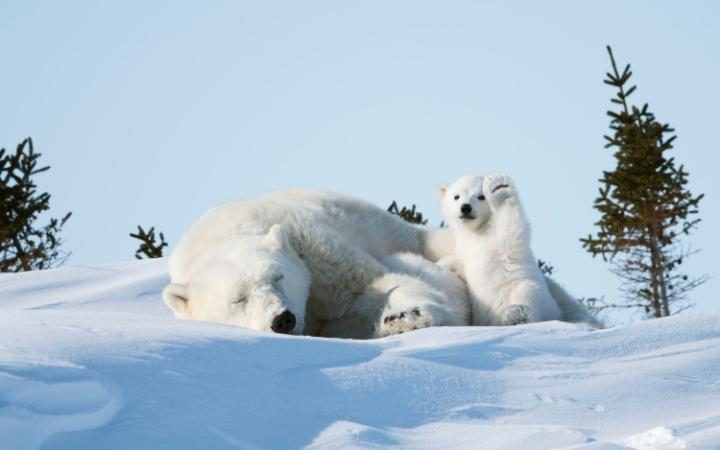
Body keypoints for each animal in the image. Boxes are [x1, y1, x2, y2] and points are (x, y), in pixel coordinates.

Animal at [162, 188, 466, 340]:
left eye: (278, 276)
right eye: (238, 299)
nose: (282, 319)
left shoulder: (311, 248)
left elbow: (372, 283)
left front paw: (407, 316)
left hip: (387, 228)